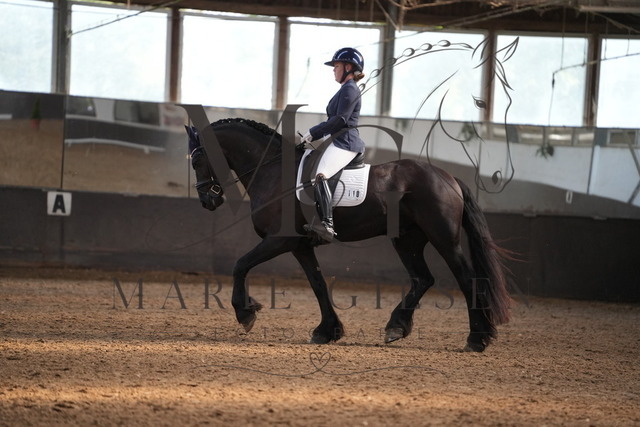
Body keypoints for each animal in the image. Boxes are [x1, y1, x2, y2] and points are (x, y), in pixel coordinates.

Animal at [184, 115, 512, 352]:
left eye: (197, 159)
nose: (207, 200)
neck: (273, 170)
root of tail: (448, 177)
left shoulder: (279, 240)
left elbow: (240, 265)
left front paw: (245, 313)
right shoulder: (300, 245)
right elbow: (317, 283)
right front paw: (327, 331)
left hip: (444, 238)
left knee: (466, 279)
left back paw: (477, 339)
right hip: (407, 239)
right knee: (423, 279)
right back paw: (397, 326)